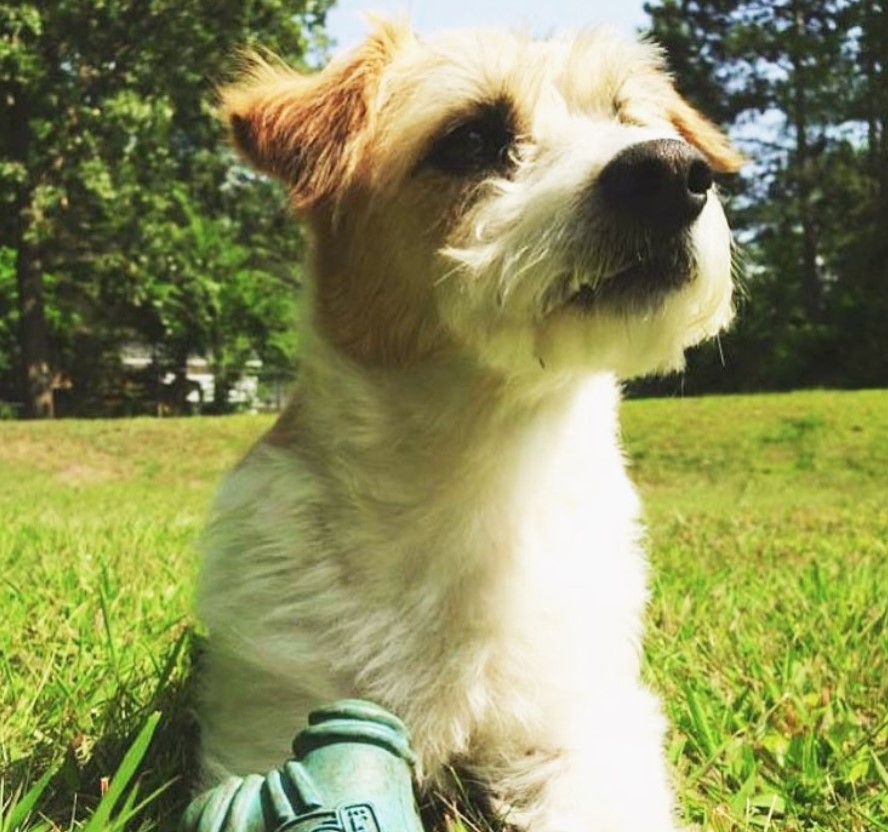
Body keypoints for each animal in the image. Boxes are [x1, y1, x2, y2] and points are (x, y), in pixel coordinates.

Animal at [196, 17, 744, 832]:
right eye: (471, 139)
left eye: (628, 119)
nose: (675, 171)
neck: (482, 464)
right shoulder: (269, 710)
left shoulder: (581, 725)